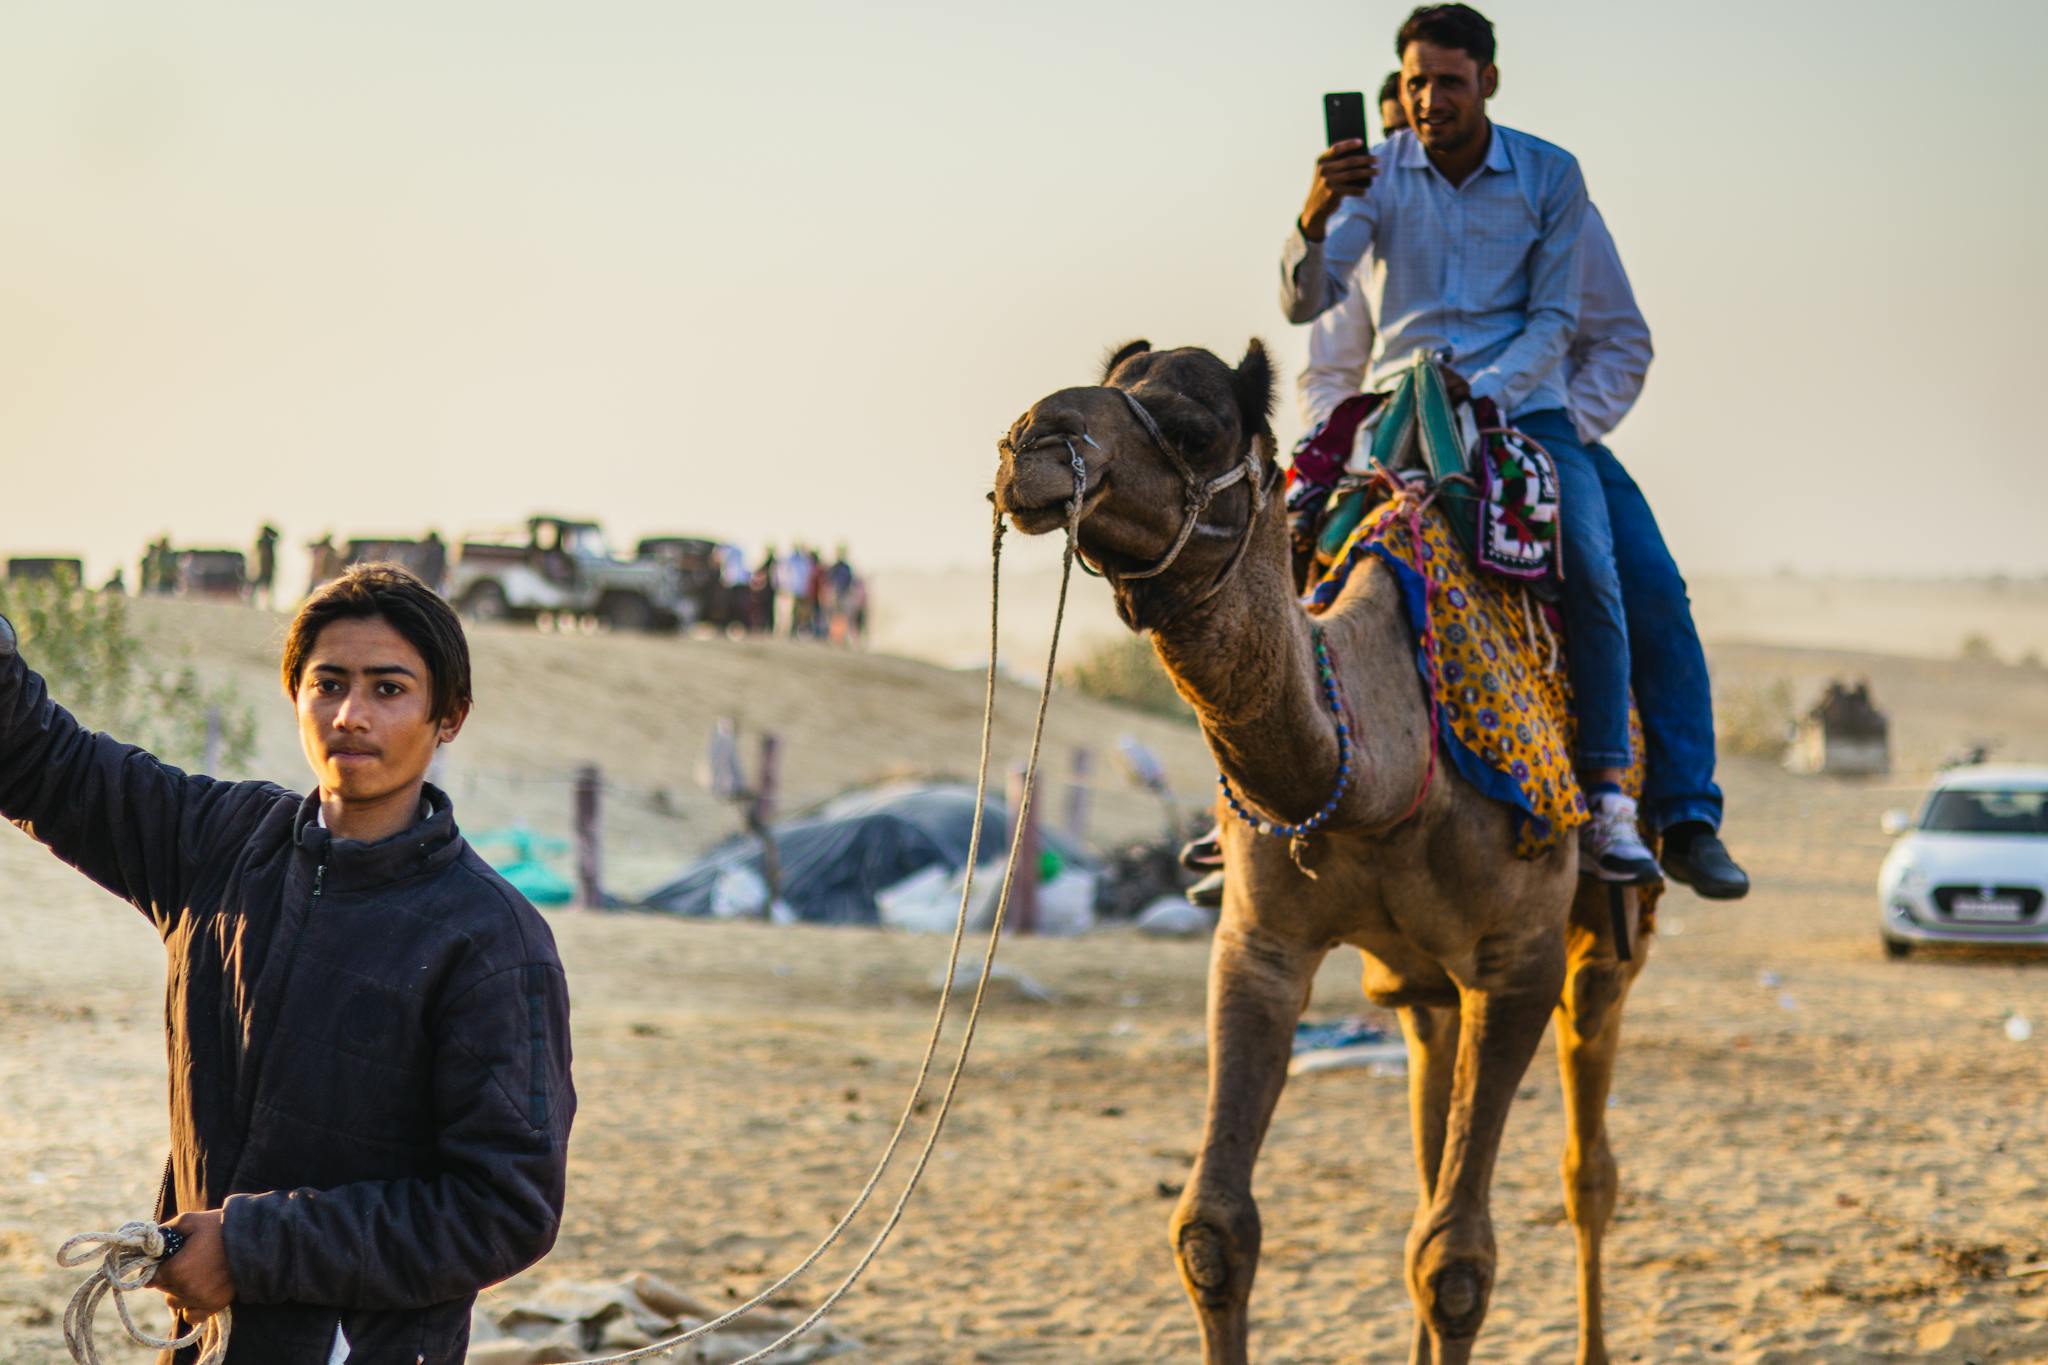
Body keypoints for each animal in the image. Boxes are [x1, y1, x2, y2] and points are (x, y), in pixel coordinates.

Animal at [994, 339, 1657, 1364]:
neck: (1386, 758)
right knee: (1429, 1152)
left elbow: (1459, 1261)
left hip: (1602, 946)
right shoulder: (1259, 944)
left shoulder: (1518, 963)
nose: (1031, 441)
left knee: (1586, 1170)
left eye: (1193, 425)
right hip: (1423, 988)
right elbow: (1215, 1230)